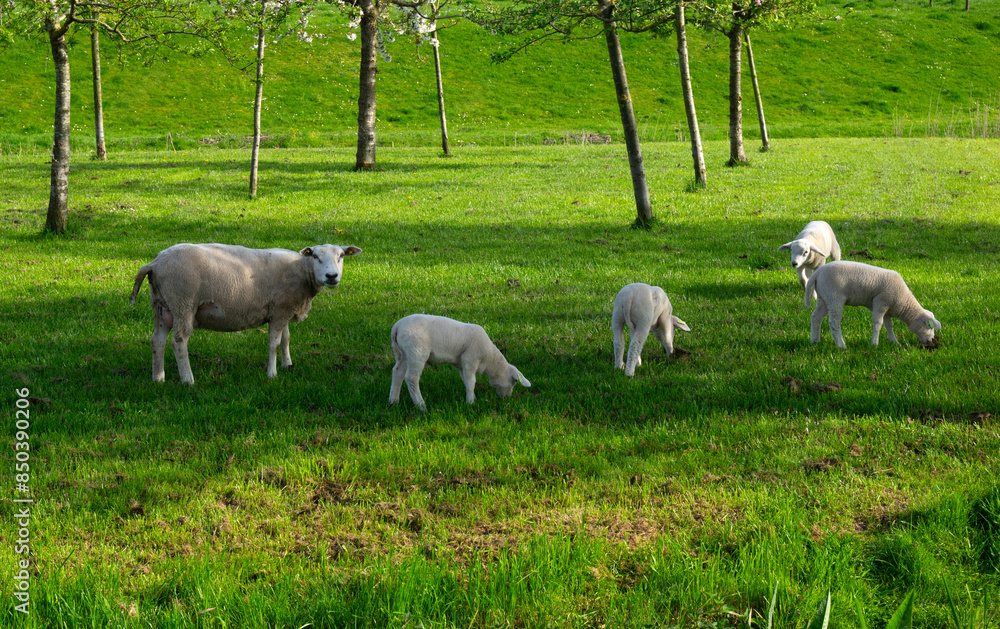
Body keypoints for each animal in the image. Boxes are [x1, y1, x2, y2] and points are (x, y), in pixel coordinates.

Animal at [130, 243, 361, 384]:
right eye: (315, 256)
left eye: (341, 256)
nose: (332, 276)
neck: (303, 271)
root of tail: (155, 263)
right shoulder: (280, 310)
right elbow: (274, 343)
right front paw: (272, 374)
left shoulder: (282, 309)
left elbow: (286, 339)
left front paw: (288, 365)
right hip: (182, 303)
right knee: (178, 341)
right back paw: (188, 379)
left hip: (162, 306)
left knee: (157, 340)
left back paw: (158, 378)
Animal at [388, 314, 530, 411]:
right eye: (514, 382)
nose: (507, 398)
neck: (490, 358)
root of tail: (397, 326)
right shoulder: (470, 360)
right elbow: (471, 382)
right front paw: (471, 403)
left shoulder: (461, 365)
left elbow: (466, 381)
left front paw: (472, 398)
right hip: (416, 351)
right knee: (411, 378)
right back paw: (421, 406)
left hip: (403, 354)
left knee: (397, 373)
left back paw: (393, 402)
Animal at [804, 260, 941, 348]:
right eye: (930, 326)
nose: (931, 341)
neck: (902, 302)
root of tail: (817, 273)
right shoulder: (881, 302)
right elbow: (878, 323)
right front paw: (874, 344)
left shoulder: (888, 309)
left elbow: (888, 325)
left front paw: (894, 342)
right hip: (834, 297)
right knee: (833, 322)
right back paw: (841, 345)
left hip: (824, 298)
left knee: (816, 317)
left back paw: (814, 341)